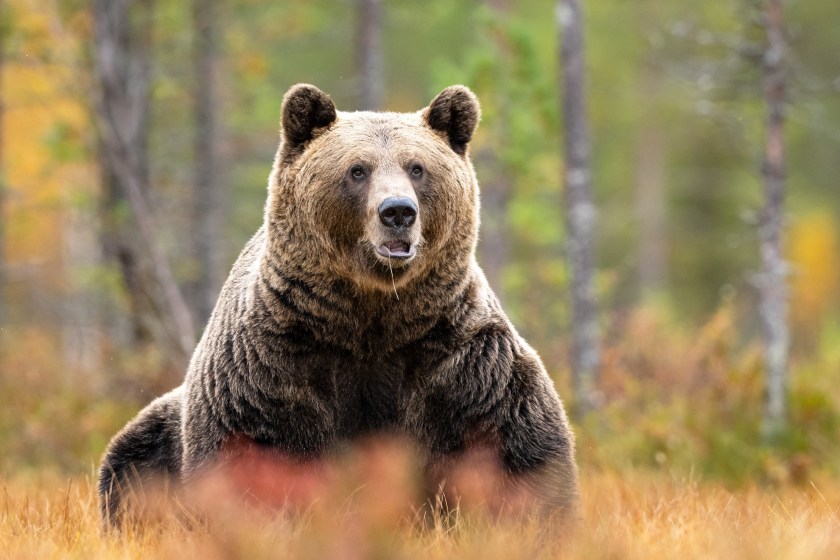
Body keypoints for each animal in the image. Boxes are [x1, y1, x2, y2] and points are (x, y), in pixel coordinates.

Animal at [98, 84, 579, 528]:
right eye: (357, 169)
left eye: (417, 168)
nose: (398, 211)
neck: (370, 316)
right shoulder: (273, 364)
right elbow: (253, 456)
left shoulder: (458, 359)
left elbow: (514, 449)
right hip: (162, 429)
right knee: (131, 464)